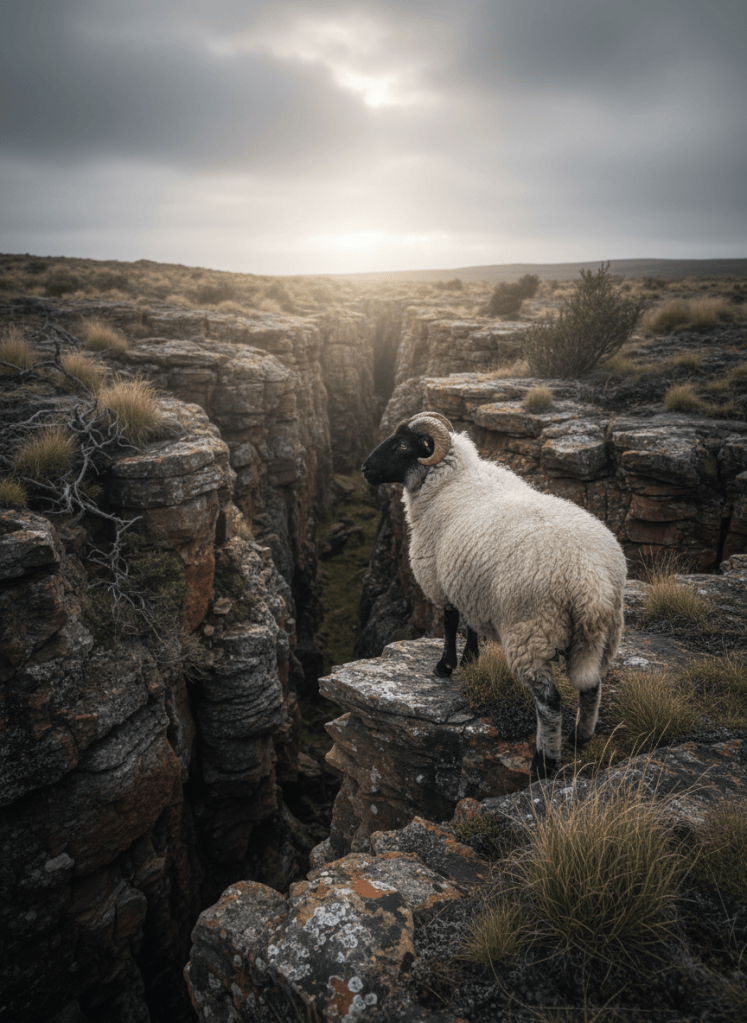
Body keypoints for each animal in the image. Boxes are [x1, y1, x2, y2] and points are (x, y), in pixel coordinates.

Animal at [362, 410, 626, 779]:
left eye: (402, 445)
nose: (365, 468)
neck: (449, 479)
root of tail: (590, 582)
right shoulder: (469, 581)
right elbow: (470, 623)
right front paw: (471, 657)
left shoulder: (440, 581)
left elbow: (449, 622)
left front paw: (445, 666)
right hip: (602, 636)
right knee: (591, 687)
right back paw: (580, 739)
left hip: (530, 633)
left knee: (549, 703)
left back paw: (544, 762)